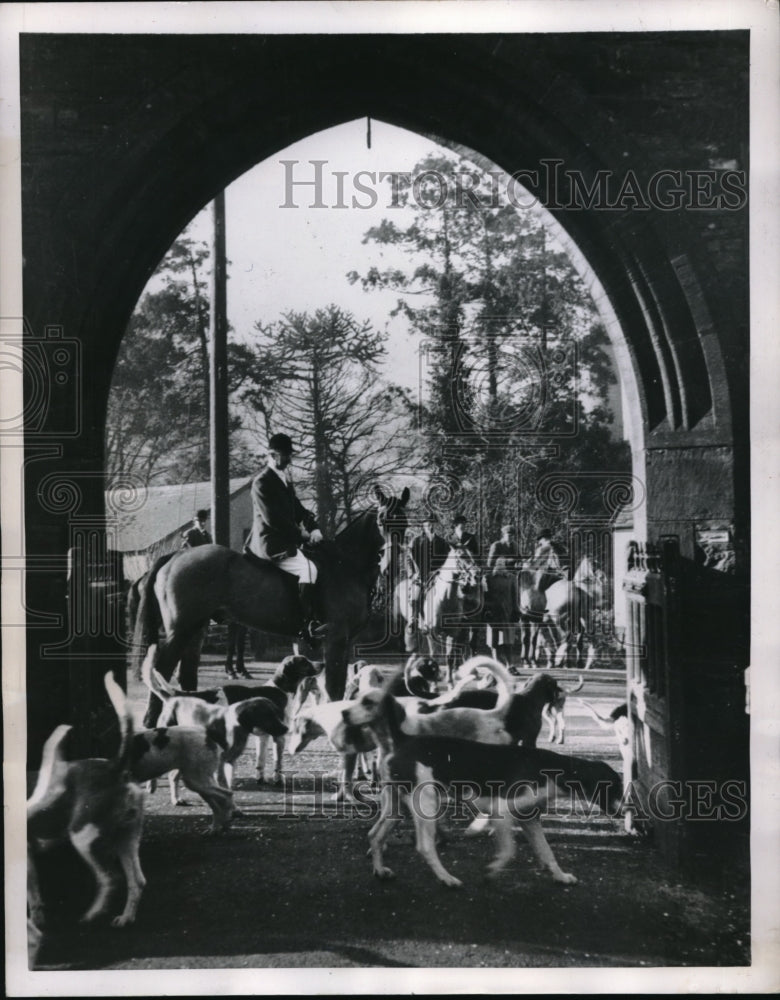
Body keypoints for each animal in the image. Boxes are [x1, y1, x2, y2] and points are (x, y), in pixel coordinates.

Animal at [132, 488, 400, 724]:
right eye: (381, 520)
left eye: (405, 522)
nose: (391, 568)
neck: (345, 565)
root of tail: (175, 556)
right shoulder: (336, 638)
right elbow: (334, 687)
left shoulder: (345, 641)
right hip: (181, 629)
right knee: (162, 668)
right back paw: (153, 719)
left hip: (196, 629)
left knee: (186, 671)